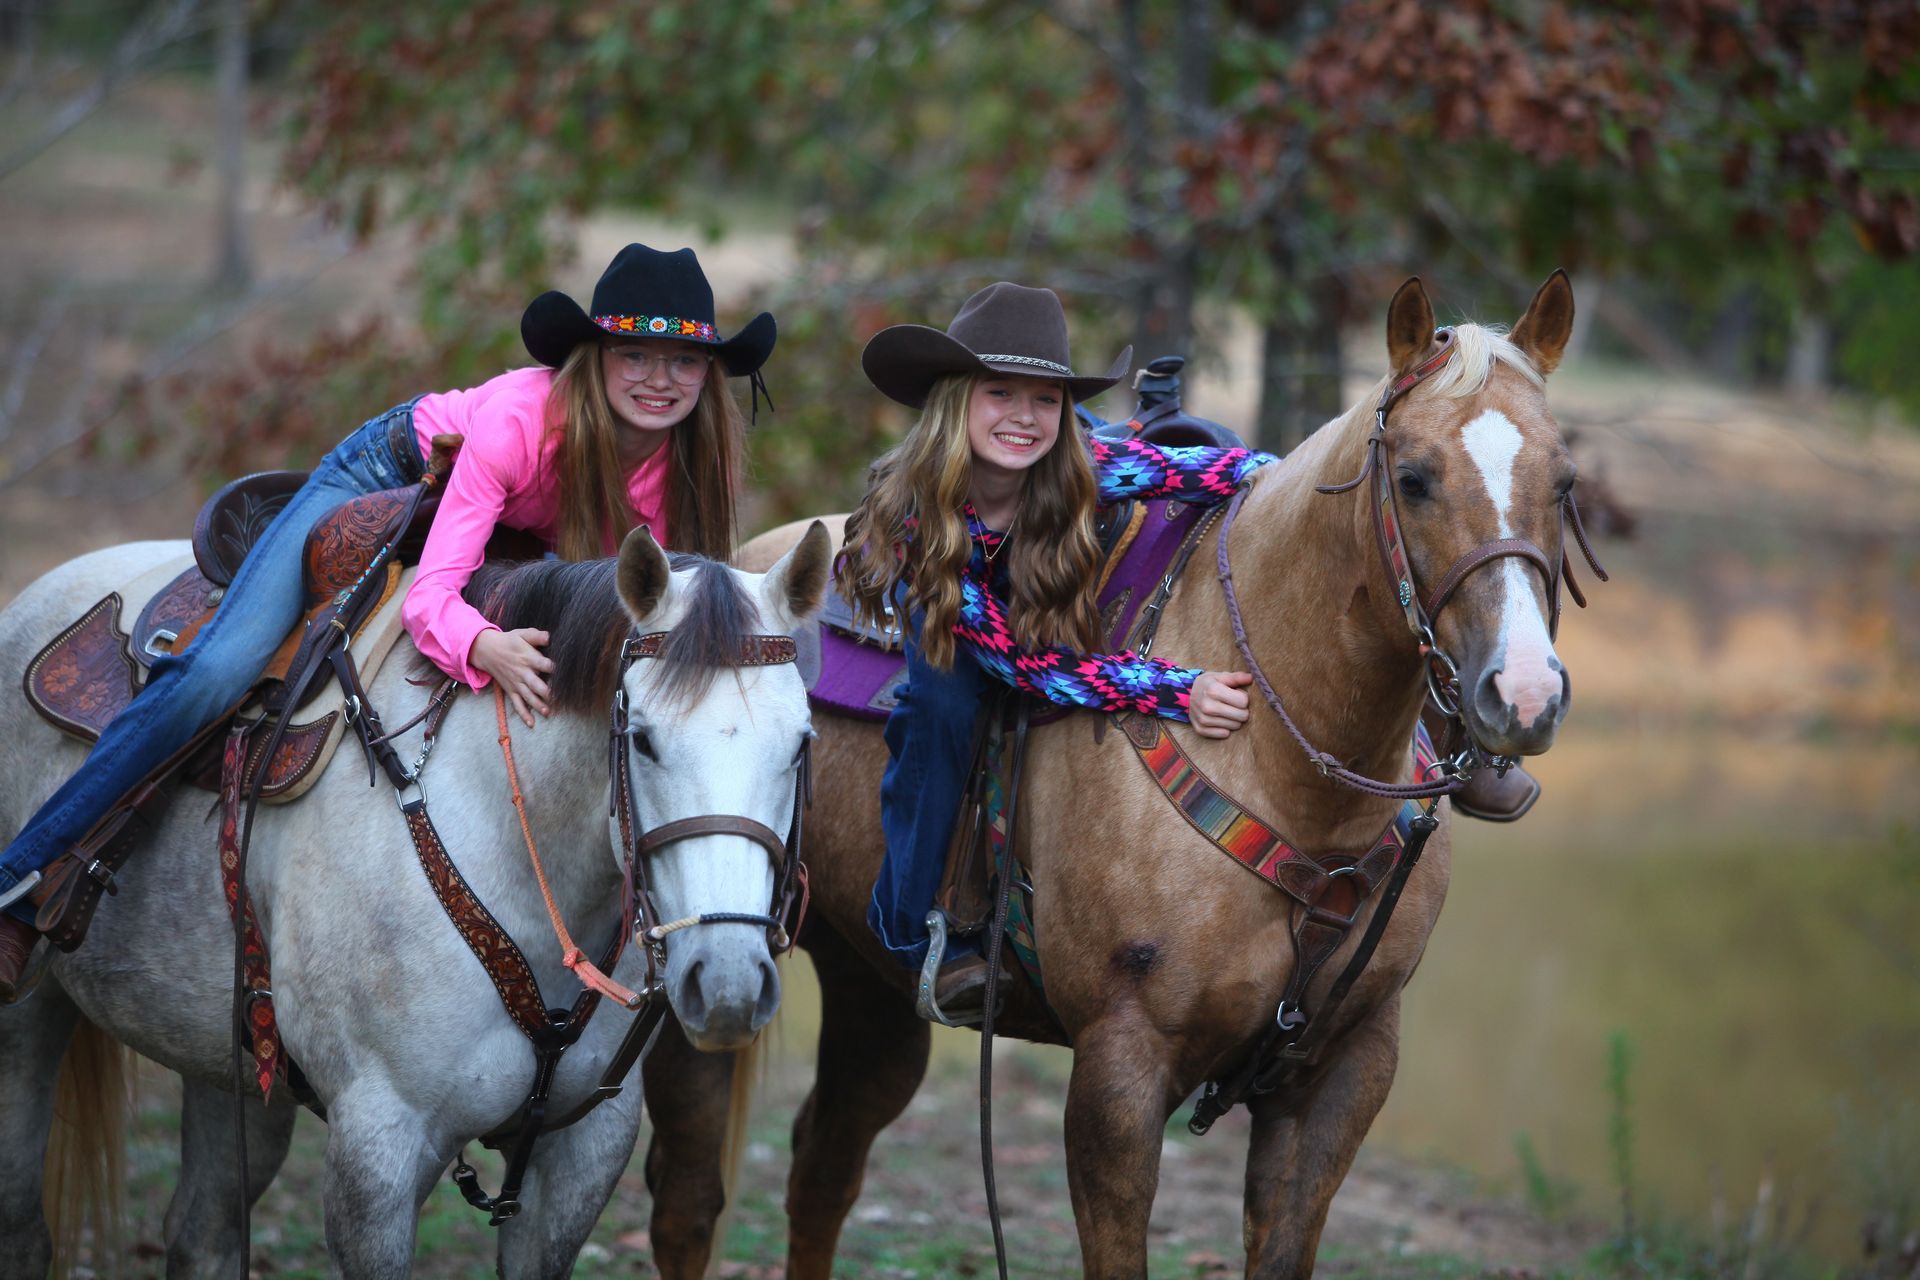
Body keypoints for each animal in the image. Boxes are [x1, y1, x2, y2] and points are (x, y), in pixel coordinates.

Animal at [0, 521, 832, 1278]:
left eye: (801, 743)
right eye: (645, 740)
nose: (727, 984)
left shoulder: (583, 1153)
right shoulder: (379, 1151)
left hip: (231, 1064)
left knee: (202, 1235)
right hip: (29, 1020)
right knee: (27, 1228)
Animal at [700, 273, 1589, 1279]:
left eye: (1564, 482)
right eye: (1414, 478)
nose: (1523, 694)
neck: (1295, 777)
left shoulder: (1346, 1069)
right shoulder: (1122, 1068)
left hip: (867, 983)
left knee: (824, 1163)